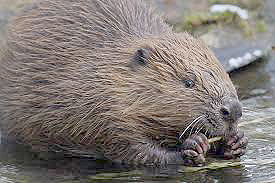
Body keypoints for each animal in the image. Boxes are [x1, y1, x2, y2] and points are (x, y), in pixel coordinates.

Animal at [0, 0, 248, 166]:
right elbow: (134, 151)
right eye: (188, 82)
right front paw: (193, 145)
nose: (233, 110)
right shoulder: (103, 113)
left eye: (224, 75)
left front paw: (236, 142)